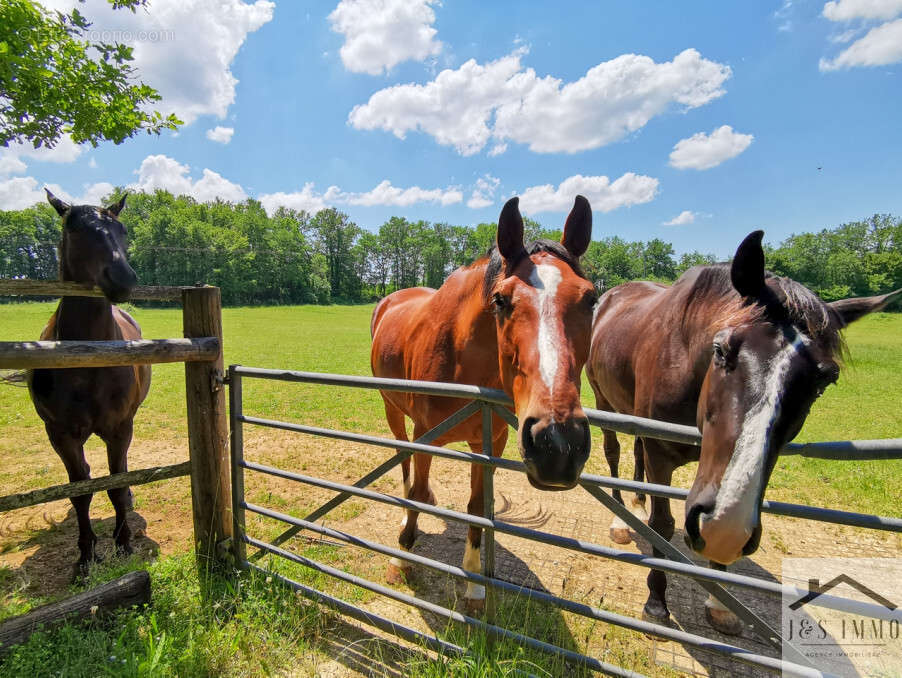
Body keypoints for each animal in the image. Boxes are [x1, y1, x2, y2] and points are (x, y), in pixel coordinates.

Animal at [28, 191, 152, 580]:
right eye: (75, 229)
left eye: (122, 231)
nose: (123, 278)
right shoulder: (59, 433)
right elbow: (81, 491)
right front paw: (85, 556)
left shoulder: (120, 427)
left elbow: (115, 483)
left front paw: (123, 544)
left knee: (120, 472)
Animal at [374, 195, 600, 612]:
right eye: (501, 299)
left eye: (591, 299)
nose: (558, 444)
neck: (463, 359)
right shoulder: (425, 435)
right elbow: (416, 494)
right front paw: (401, 559)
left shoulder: (487, 443)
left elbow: (478, 509)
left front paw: (475, 586)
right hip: (393, 410)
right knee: (404, 461)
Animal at [588, 231, 896, 636]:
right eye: (721, 350)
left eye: (825, 380)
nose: (726, 529)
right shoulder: (661, 453)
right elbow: (663, 525)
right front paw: (656, 601)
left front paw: (721, 603)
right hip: (604, 402)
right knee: (613, 453)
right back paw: (621, 519)